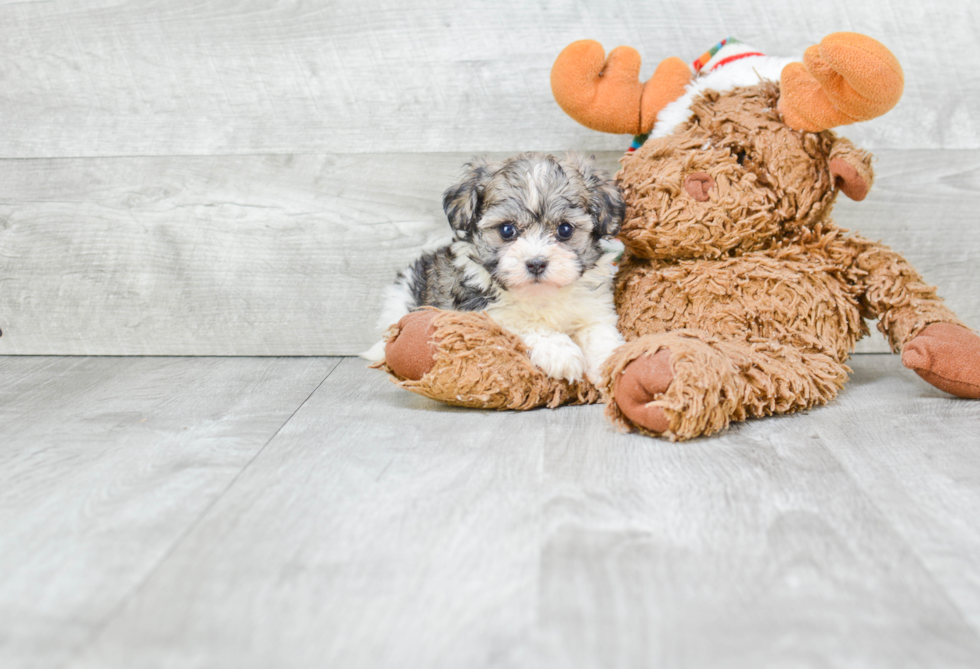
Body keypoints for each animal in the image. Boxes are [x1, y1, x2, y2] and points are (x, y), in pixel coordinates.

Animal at [364, 151, 624, 380]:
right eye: (507, 230)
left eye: (565, 229)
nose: (536, 263)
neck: (540, 294)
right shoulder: (485, 313)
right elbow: (524, 323)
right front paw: (560, 352)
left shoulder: (594, 308)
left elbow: (598, 332)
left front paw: (608, 367)